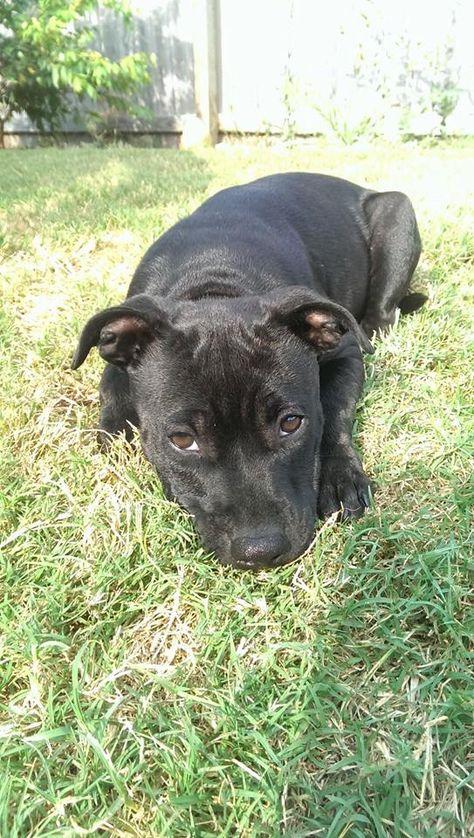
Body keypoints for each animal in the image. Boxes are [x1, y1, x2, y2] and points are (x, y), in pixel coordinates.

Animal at [73, 176, 422, 572]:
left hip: (396, 216)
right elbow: (112, 394)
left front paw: (339, 476)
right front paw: (115, 438)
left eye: (291, 423)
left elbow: (335, 409)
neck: (214, 288)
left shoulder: (346, 351)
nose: (260, 550)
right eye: (181, 440)